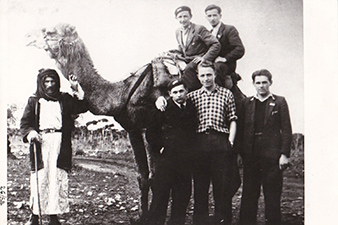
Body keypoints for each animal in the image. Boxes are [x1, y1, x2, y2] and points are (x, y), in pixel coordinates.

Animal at [25, 23, 243, 221]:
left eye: (49, 32)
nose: (28, 37)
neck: (121, 93)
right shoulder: (133, 130)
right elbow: (142, 177)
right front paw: (141, 216)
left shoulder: (150, 128)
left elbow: (156, 178)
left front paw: (153, 216)